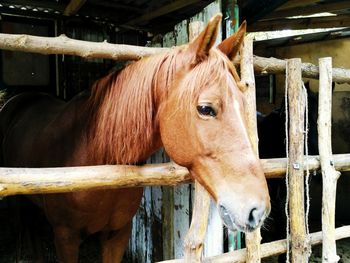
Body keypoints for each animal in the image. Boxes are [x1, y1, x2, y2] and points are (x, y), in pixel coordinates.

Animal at [0, 14, 270, 263]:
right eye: (205, 109)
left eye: (244, 102)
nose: (258, 210)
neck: (96, 157)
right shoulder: (66, 237)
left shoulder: (117, 235)